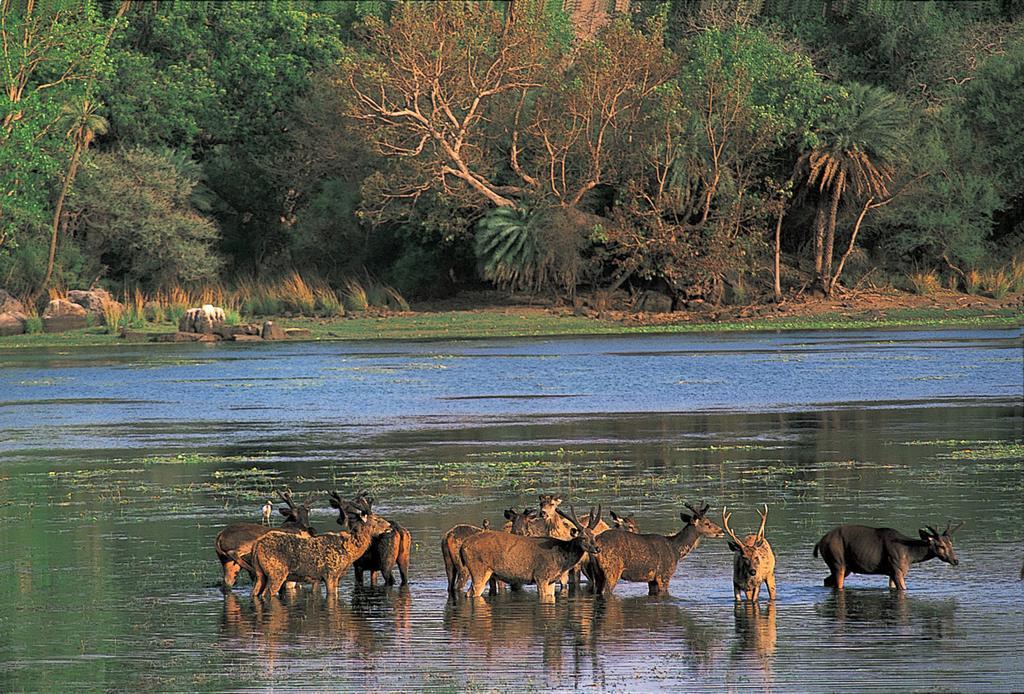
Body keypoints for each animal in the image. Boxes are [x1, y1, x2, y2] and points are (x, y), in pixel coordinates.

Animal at [247, 497, 391, 601]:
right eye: (376, 519)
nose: (389, 525)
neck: (350, 551)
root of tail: (256, 546)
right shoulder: (330, 574)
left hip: (260, 574)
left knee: (254, 593)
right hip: (276, 573)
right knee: (266, 594)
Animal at [458, 505, 598, 601]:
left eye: (594, 536)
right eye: (583, 537)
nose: (597, 548)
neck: (561, 560)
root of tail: (463, 546)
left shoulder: (551, 580)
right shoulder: (541, 576)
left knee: (468, 593)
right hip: (479, 570)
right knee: (473, 592)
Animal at [589, 499, 724, 597]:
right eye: (707, 523)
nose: (721, 531)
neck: (676, 550)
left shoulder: (652, 579)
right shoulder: (664, 575)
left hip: (597, 574)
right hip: (612, 569)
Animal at [811, 522, 962, 593]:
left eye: (951, 543)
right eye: (941, 546)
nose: (955, 560)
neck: (910, 555)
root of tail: (820, 542)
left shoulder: (892, 572)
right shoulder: (896, 569)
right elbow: (903, 589)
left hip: (845, 567)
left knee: (826, 580)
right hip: (837, 562)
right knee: (838, 584)